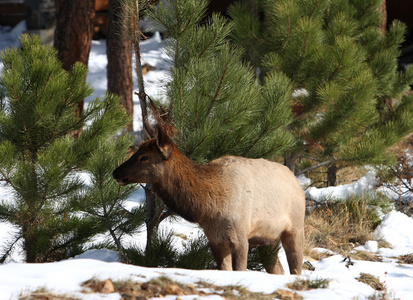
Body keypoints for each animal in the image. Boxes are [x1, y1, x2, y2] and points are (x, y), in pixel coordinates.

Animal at [111, 124, 304, 274]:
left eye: (144, 157)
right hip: (268, 239)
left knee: (296, 269)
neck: (209, 209)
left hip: (294, 229)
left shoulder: (241, 237)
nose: (115, 172)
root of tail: (296, 181)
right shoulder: (216, 240)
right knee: (278, 270)